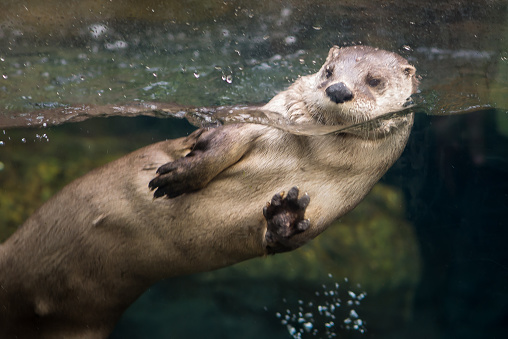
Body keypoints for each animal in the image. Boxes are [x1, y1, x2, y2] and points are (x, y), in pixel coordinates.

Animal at [0, 45, 416, 339]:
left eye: (375, 80)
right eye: (329, 71)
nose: (338, 89)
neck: (306, 157)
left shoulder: (334, 204)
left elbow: (284, 237)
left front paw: (287, 211)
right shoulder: (256, 123)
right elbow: (219, 146)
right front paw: (178, 177)